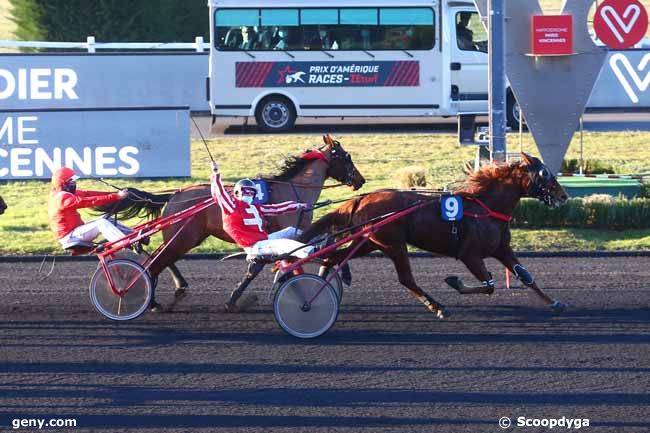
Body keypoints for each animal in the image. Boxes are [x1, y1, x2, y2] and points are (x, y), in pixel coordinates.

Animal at [99, 135, 368, 308]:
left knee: (160, 256)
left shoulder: (288, 234)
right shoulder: (292, 232)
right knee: (157, 260)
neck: (293, 189)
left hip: (186, 237)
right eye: (346, 156)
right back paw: (148, 296)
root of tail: (175, 194)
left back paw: (171, 289)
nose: (361, 181)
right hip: (184, 237)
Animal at [298, 152, 568, 318]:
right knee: (406, 278)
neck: (485, 208)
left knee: (333, 256)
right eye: (544, 173)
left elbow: (526, 276)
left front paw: (555, 303)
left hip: (371, 242)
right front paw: (455, 282)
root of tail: (360, 199)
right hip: (393, 244)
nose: (563, 196)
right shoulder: (469, 254)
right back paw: (437, 306)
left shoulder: (501, 249)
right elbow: (489, 284)